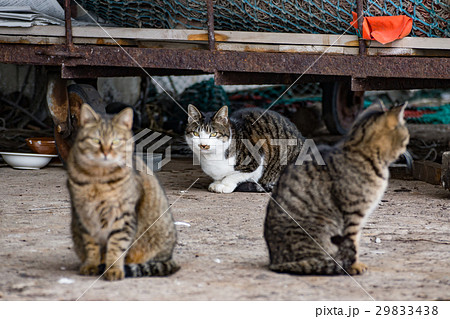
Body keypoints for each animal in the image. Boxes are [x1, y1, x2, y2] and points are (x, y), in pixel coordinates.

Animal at [67, 104, 178, 282]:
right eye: (96, 141)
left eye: (116, 141)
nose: (105, 152)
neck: (98, 178)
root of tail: (170, 256)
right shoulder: (83, 215)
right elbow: (91, 245)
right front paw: (91, 265)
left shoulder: (123, 215)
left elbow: (116, 245)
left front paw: (113, 269)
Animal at [266, 104, 410, 276]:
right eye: (406, 137)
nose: (407, 148)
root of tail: (275, 262)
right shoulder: (353, 213)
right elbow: (353, 242)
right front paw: (354, 266)